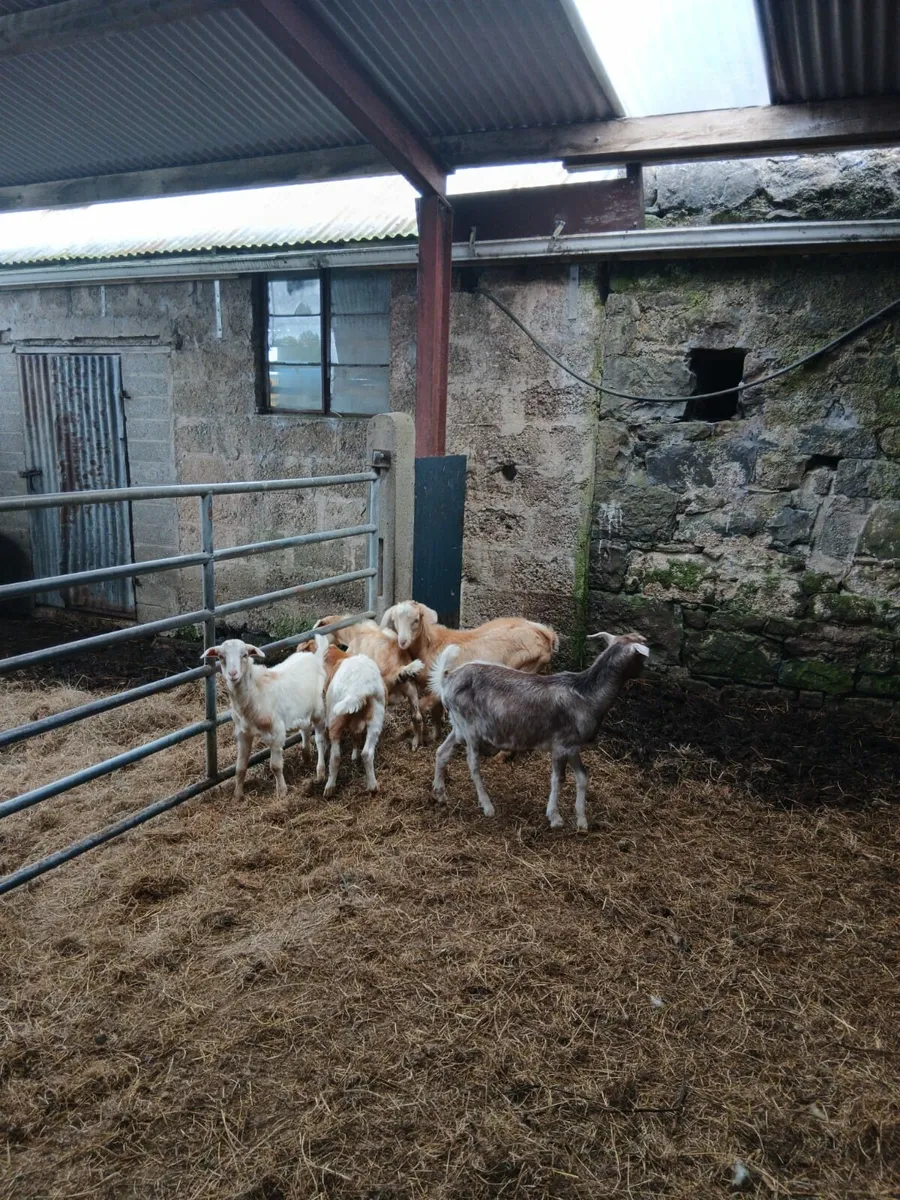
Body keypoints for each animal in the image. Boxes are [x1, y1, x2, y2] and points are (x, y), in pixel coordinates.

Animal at [202, 636, 328, 801]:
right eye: (221, 657)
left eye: (245, 655)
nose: (233, 673)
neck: (254, 695)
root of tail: (314, 657)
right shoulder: (243, 733)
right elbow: (240, 767)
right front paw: (237, 795)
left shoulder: (277, 731)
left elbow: (275, 766)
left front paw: (282, 792)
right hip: (301, 709)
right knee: (305, 729)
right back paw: (305, 756)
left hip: (318, 709)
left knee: (319, 739)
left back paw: (320, 771)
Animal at [320, 644, 386, 797]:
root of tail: (357, 688)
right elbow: (356, 736)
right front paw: (354, 756)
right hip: (376, 716)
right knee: (367, 753)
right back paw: (373, 786)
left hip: (334, 718)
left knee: (335, 757)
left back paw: (329, 788)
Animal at [380, 601, 558, 740]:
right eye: (394, 620)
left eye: (416, 620)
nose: (403, 642)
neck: (430, 645)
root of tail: (546, 635)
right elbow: (435, 713)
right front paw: (434, 736)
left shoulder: (437, 688)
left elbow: (424, 707)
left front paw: (410, 734)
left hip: (523, 670)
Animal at [429, 631, 649, 830]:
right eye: (643, 655)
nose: (645, 676)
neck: (586, 694)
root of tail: (447, 679)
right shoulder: (560, 745)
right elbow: (558, 779)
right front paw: (555, 818)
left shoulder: (573, 746)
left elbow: (582, 776)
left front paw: (582, 821)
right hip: (471, 729)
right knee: (473, 765)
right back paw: (487, 806)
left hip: (459, 727)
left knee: (442, 752)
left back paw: (440, 794)